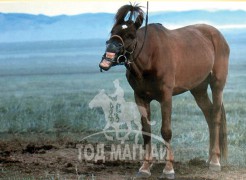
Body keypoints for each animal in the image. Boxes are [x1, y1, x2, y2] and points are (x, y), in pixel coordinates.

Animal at [99, 3, 230, 179]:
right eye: (113, 31)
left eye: (131, 35)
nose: (108, 57)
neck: (150, 58)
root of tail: (217, 35)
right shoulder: (140, 97)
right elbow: (146, 130)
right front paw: (145, 167)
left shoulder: (166, 97)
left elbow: (166, 131)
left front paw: (168, 169)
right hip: (198, 88)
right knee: (208, 114)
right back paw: (209, 159)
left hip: (217, 84)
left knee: (215, 116)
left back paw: (215, 161)